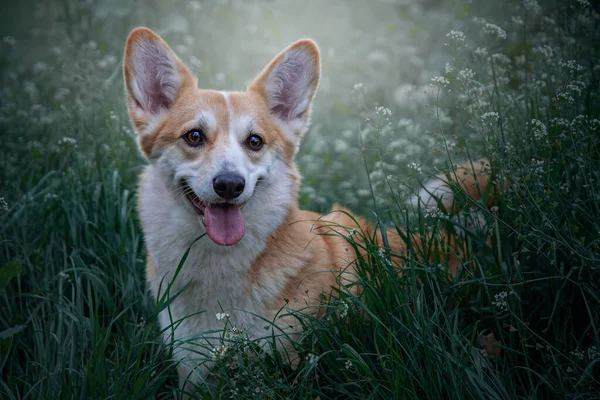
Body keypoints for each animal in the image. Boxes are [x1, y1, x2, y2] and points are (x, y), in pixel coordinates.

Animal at [123, 26, 496, 390]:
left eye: (254, 141)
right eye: (194, 136)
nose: (230, 185)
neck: (220, 265)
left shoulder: (287, 368)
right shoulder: (192, 372)